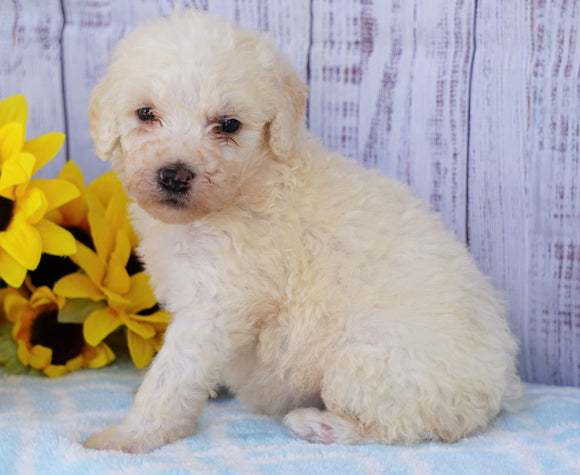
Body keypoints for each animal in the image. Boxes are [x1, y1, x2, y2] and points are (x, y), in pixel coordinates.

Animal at [84, 8, 524, 454]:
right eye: (145, 114)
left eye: (228, 124)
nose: (174, 175)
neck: (245, 186)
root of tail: (502, 381)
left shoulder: (216, 305)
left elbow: (171, 378)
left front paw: (127, 436)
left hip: (367, 362)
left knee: (400, 427)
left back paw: (316, 424)